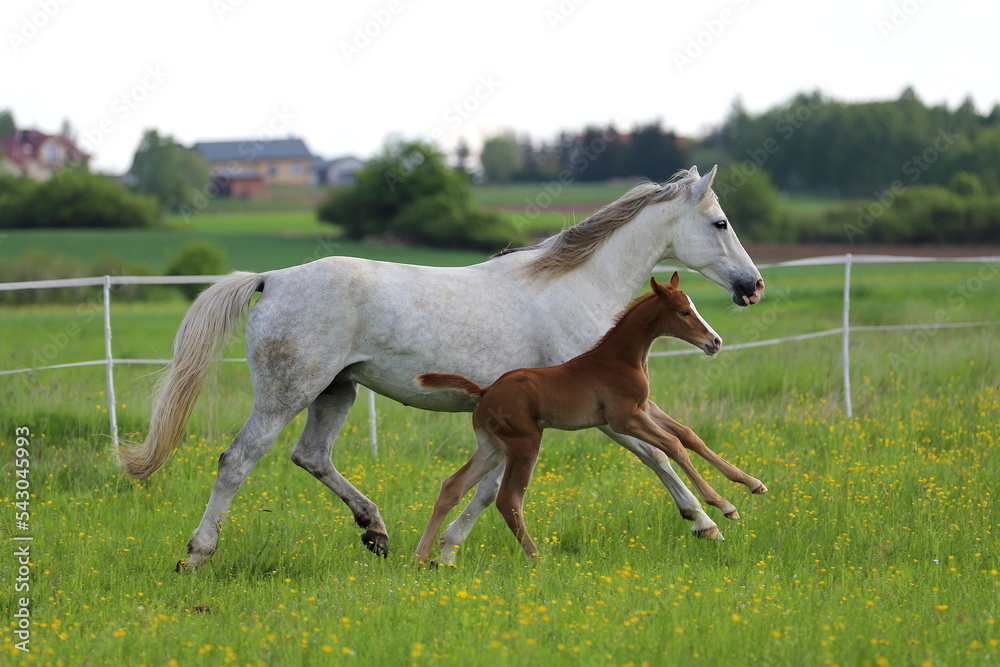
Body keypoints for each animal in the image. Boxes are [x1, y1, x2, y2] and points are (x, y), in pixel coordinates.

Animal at [414, 273, 767, 563]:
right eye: (684, 312)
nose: (715, 342)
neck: (620, 359)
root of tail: (485, 392)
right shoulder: (624, 418)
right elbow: (672, 445)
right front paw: (722, 505)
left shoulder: (645, 408)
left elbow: (689, 435)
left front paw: (752, 484)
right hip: (525, 444)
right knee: (508, 499)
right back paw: (536, 558)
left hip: (491, 447)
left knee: (452, 486)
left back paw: (424, 557)